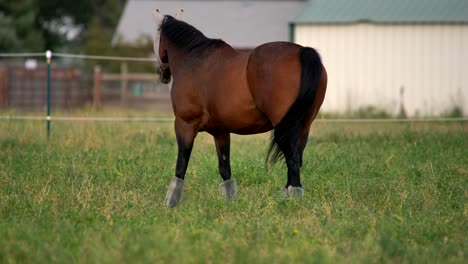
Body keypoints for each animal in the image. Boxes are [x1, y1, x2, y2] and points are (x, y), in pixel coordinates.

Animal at [153, 10, 326, 208]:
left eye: (157, 37)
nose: (163, 75)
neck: (194, 60)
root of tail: (303, 51)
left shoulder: (185, 124)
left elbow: (181, 163)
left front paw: (171, 201)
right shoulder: (220, 131)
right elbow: (224, 167)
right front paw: (230, 201)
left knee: (293, 161)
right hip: (303, 126)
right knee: (296, 158)